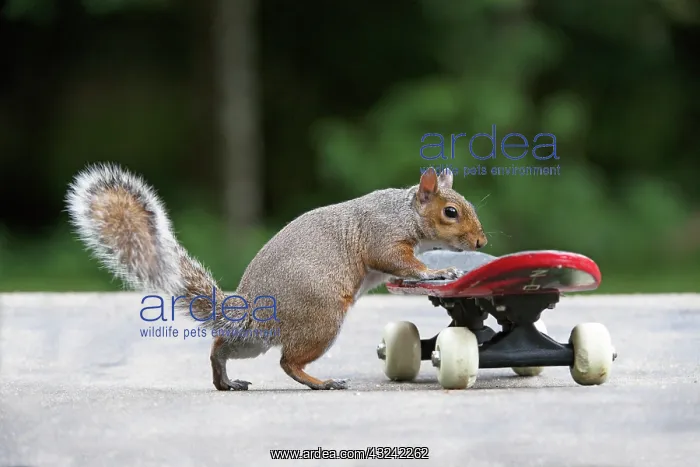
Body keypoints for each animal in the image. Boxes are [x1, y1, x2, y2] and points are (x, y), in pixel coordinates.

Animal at [65, 163, 487, 391]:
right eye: (450, 212)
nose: (481, 240)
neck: (403, 211)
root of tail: (250, 313)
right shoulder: (382, 238)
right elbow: (399, 262)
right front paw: (440, 270)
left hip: (251, 343)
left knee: (221, 348)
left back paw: (225, 380)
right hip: (322, 319)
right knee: (288, 363)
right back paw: (321, 382)